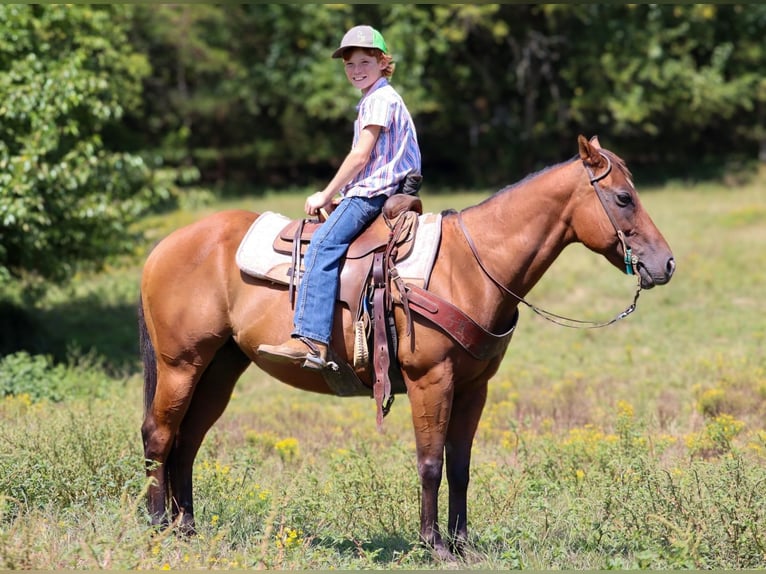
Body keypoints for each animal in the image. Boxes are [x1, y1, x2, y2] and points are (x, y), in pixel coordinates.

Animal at [138, 135, 675, 560]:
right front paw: (434, 545)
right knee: (159, 434)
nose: (666, 263)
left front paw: (462, 543)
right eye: (623, 197)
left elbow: (460, 465)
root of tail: (164, 246)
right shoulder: (429, 379)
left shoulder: (474, 387)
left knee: (187, 440)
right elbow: (430, 462)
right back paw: (158, 528)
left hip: (220, 367)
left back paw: (187, 529)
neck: (469, 266)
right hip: (180, 363)